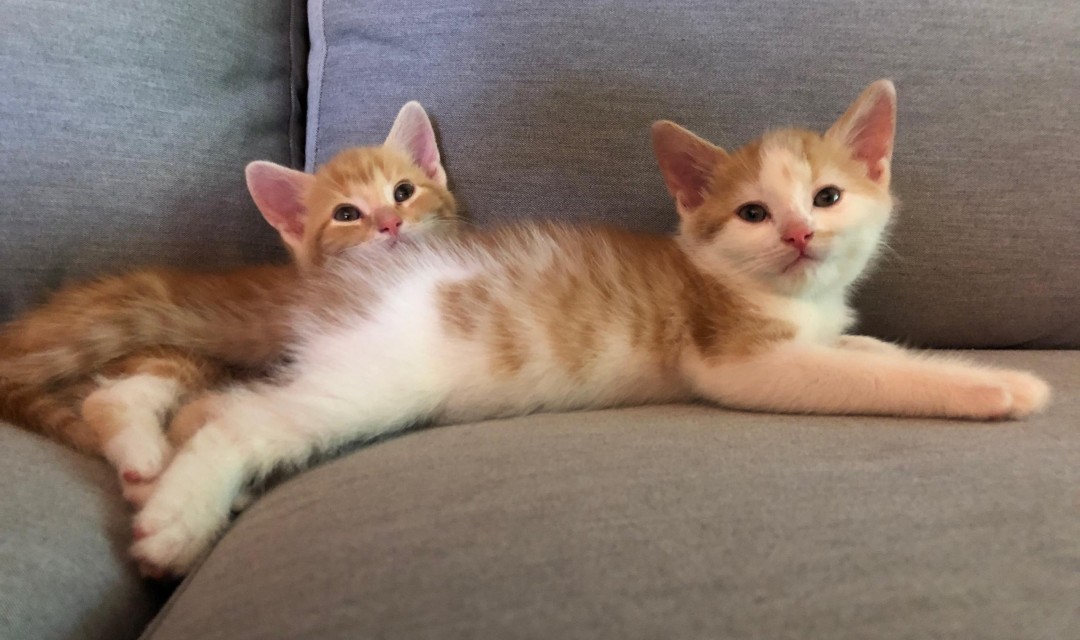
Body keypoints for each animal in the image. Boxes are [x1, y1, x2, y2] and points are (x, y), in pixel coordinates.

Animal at [130, 79, 1049, 574]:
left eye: (826, 197)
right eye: (754, 213)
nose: (798, 234)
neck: (751, 283)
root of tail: (337, 277)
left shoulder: (810, 329)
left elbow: (858, 346)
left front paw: (892, 342)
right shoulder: (735, 359)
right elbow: (868, 372)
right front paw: (997, 385)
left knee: (215, 407)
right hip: (375, 379)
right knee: (244, 422)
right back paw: (175, 518)